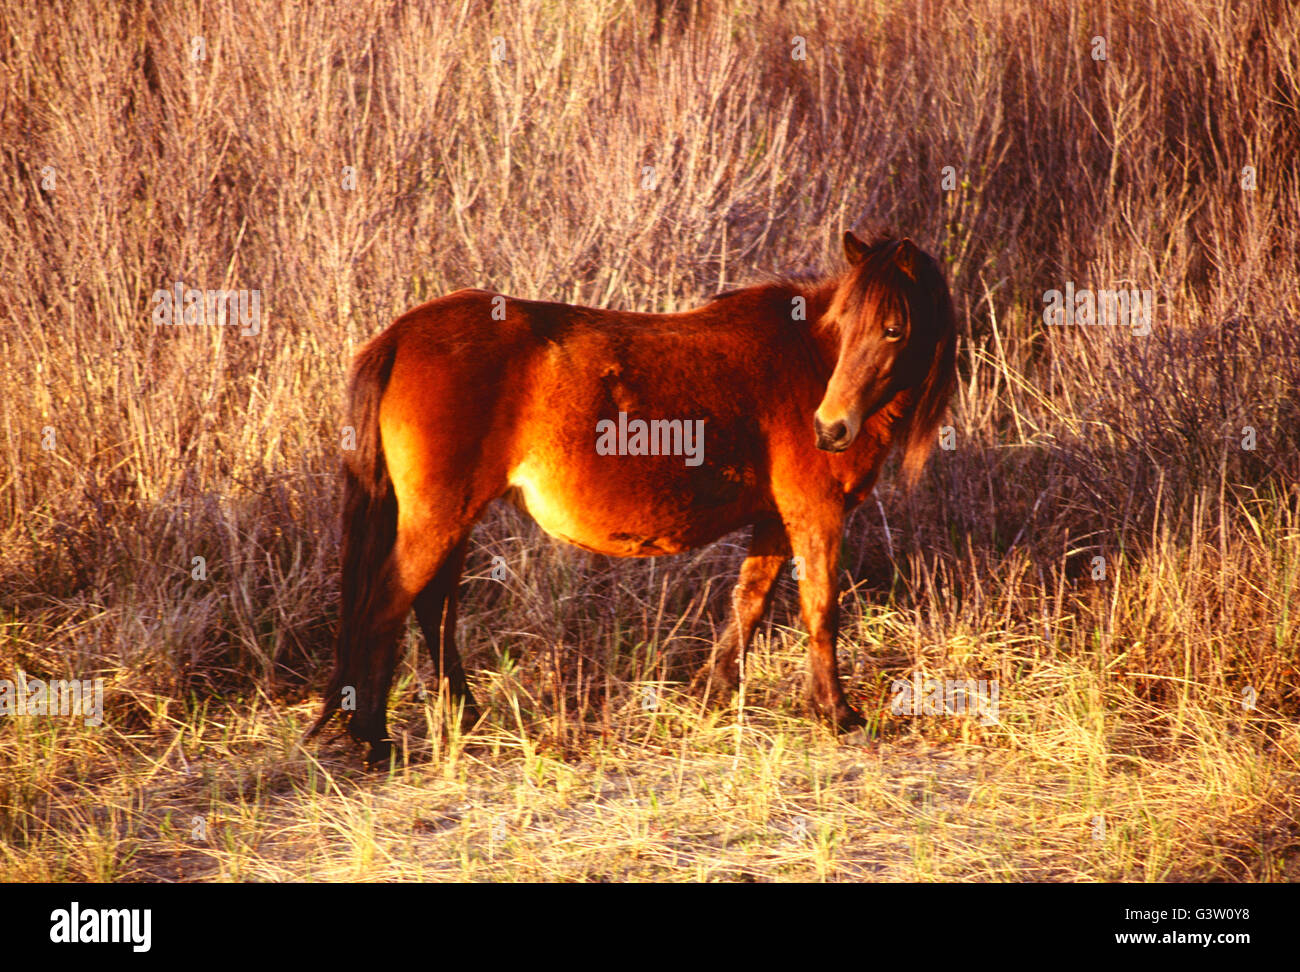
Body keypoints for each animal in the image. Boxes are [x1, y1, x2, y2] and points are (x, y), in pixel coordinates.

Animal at [308, 231, 958, 762]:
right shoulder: (815, 514)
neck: (806, 358)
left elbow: (748, 604)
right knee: (389, 605)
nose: (829, 429)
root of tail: (401, 334)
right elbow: (820, 609)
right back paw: (375, 739)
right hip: (438, 518)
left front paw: (712, 696)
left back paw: (463, 716)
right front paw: (838, 713)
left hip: (452, 518)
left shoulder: (777, 520)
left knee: (433, 609)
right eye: (841, 327)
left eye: (893, 329)